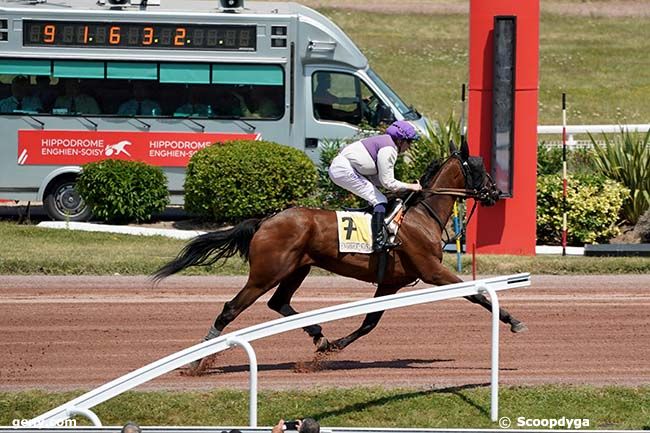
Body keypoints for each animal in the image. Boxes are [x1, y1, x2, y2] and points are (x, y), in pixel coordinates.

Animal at [153, 140, 528, 362]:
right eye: (479, 168)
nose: (497, 193)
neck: (421, 216)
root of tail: (265, 220)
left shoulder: (390, 282)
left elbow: (369, 322)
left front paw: (334, 347)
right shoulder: (431, 270)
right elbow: (476, 294)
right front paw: (513, 320)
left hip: (297, 269)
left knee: (279, 303)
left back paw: (319, 336)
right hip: (265, 274)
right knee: (230, 309)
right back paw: (200, 359)